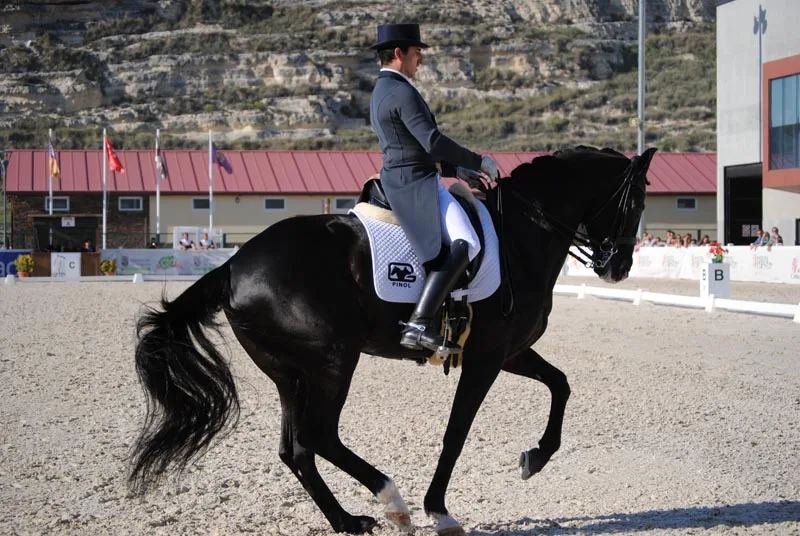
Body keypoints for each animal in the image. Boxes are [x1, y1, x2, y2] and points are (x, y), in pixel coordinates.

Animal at [129, 145, 656, 536]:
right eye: (636, 202)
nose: (618, 268)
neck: (521, 236)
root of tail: (233, 266)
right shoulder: (485, 359)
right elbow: (456, 433)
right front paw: (439, 511)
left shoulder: (507, 352)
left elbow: (560, 383)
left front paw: (535, 458)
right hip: (333, 363)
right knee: (319, 436)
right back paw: (393, 501)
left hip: (290, 374)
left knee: (295, 449)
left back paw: (347, 521)